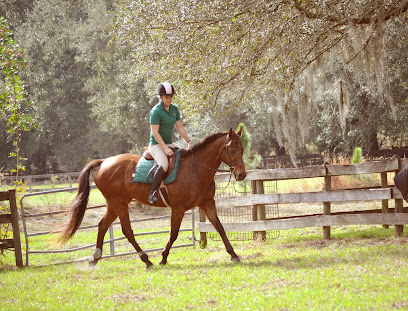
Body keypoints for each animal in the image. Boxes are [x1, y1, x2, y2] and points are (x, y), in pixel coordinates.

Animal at [59, 128, 247, 270]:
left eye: (242, 149)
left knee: (103, 226)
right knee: (127, 231)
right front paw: (163, 258)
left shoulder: (207, 203)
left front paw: (234, 255)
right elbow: (173, 233)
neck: (195, 169)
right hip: (120, 204)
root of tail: (104, 162)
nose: (242, 175)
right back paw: (146, 260)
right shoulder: (178, 208)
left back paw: (94, 259)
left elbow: (220, 227)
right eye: (232, 149)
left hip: (114, 204)